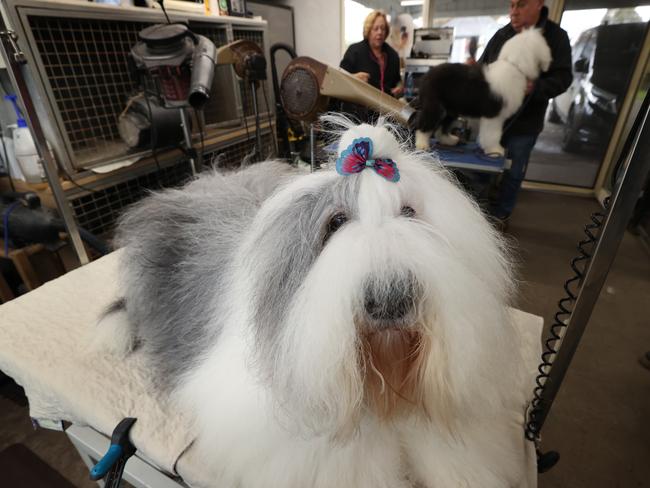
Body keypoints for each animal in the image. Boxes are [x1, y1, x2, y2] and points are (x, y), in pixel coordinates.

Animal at [412, 29, 548, 154]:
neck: (514, 65)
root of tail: (427, 75)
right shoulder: (494, 116)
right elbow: (493, 134)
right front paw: (495, 150)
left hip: (451, 107)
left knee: (442, 127)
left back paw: (448, 140)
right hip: (435, 105)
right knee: (424, 124)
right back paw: (422, 144)